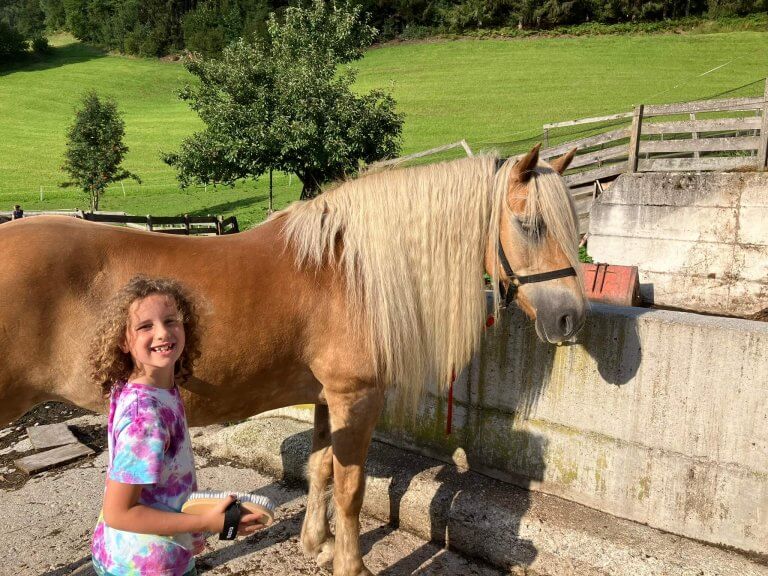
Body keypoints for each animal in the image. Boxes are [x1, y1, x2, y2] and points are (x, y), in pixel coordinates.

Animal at [0, 145, 585, 576]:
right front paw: (351, 565)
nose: (570, 318)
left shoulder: (329, 398)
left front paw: (317, 546)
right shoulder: (356, 397)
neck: (350, 271)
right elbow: (350, 488)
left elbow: (320, 468)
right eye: (529, 223)